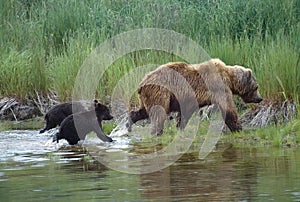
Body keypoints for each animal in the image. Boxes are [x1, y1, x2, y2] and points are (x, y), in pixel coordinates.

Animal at [127, 58, 262, 136]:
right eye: (256, 87)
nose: (260, 98)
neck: (229, 77)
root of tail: (142, 82)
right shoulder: (219, 87)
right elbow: (228, 108)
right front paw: (238, 128)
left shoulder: (189, 99)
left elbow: (184, 113)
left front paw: (180, 127)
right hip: (161, 91)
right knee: (158, 112)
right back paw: (157, 132)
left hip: (149, 95)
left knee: (143, 111)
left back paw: (129, 122)